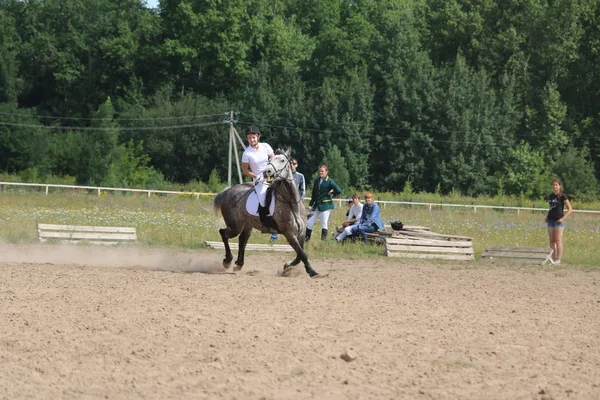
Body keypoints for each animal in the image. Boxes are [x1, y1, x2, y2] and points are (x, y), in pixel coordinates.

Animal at [214, 148, 322, 276]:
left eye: (282, 160)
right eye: (270, 160)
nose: (267, 171)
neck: (291, 204)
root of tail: (227, 191)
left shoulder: (301, 233)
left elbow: (299, 256)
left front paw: (287, 266)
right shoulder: (289, 234)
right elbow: (302, 254)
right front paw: (311, 271)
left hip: (247, 225)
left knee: (242, 240)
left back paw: (239, 264)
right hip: (235, 226)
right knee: (223, 233)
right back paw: (228, 260)